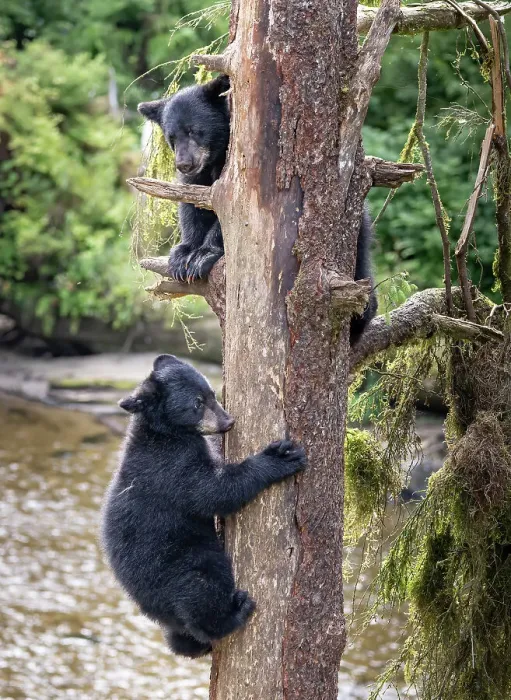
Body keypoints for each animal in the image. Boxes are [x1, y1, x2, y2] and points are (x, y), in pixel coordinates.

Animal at [100, 354, 306, 658]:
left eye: (211, 393)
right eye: (196, 404)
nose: (228, 421)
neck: (163, 432)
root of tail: (162, 616)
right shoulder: (171, 467)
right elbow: (213, 491)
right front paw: (279, 457)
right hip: (184, 567)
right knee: (202, 591)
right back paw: (234, 614)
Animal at [138, 75, 377, 339]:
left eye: (194, 131)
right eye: (172, 137)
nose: (184, 164)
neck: (215, 158)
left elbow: (230, 216)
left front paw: (202, 255)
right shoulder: (198, 178)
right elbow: (192, 206)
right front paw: (182, 255)